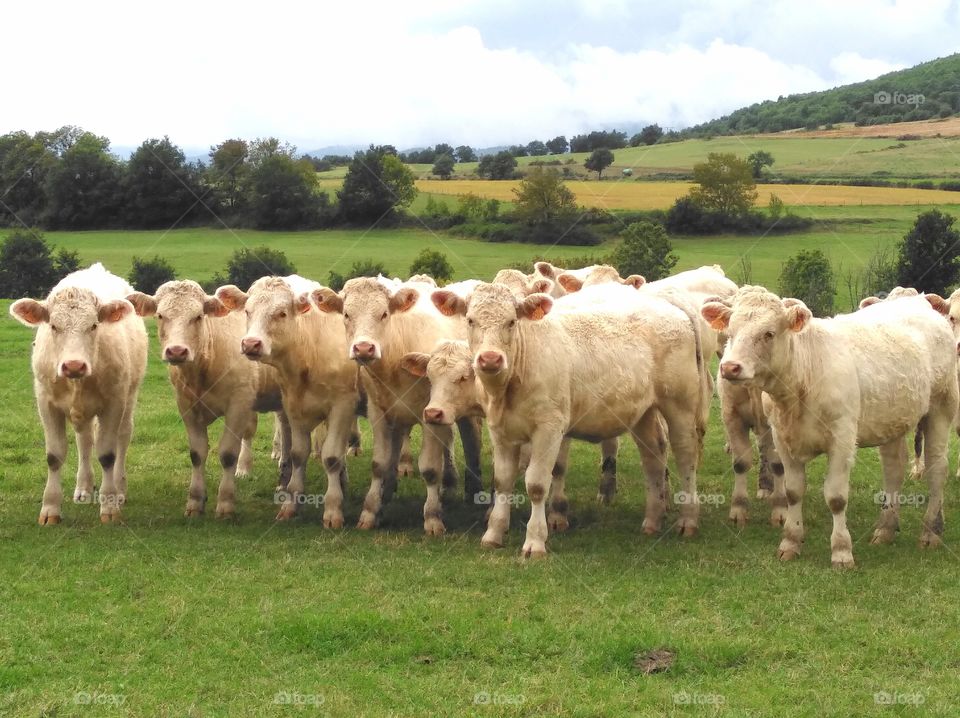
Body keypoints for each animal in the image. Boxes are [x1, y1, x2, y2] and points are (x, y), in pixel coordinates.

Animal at [10, 263, 148, 524]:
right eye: (54, 326)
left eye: (93, 325)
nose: (74, 365)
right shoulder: (46, 403)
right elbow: (54, 455)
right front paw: (50, 509)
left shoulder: (114, 402)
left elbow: (107, 454)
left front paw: (109, 506)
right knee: (84, 440)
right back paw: (83, 488)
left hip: (130, 395)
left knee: (123, 436)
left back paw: (120, 489)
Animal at [126, 280, 289, 518]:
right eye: (160, 315)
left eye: (198, 316)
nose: (177, 351)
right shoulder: (186, 407)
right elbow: (197, 453)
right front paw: (195, 501)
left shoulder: (238, 405)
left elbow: (228, 453)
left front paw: (226, 503)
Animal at [216, 276, 359, 528]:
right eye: (248, 311)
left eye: (282, 313)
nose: (250, 344)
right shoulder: (293, 407)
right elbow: (297, 453)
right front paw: (291, 503)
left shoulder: (342, 405)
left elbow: (332, 456)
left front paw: (333, 510)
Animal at [431, 282, 706, 556]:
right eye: (470, 320)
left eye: (511, 322)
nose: (490, 359)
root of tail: (667, 306)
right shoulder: (500, 431)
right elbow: (502, 481)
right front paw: (493, 533)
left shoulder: (549, 428)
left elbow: (537, 484)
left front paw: (535, 541)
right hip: (643, 412)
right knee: (653, 456)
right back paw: (652, 520)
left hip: (679, 404)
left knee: (685, 455)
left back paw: (688, 520)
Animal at [703, 287, 958, 567]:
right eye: (730, 331)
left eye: (768, 333)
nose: (730, 367)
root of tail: (919, 303)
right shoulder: (782, 438)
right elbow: (793, 492)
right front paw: (790, 541)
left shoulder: (842, 438)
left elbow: (836, 498)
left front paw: (841, 551)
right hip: (893, 419)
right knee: (894, 468)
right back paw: (885, 528)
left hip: (941, 408)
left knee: (937, 468)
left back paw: (931, 532)